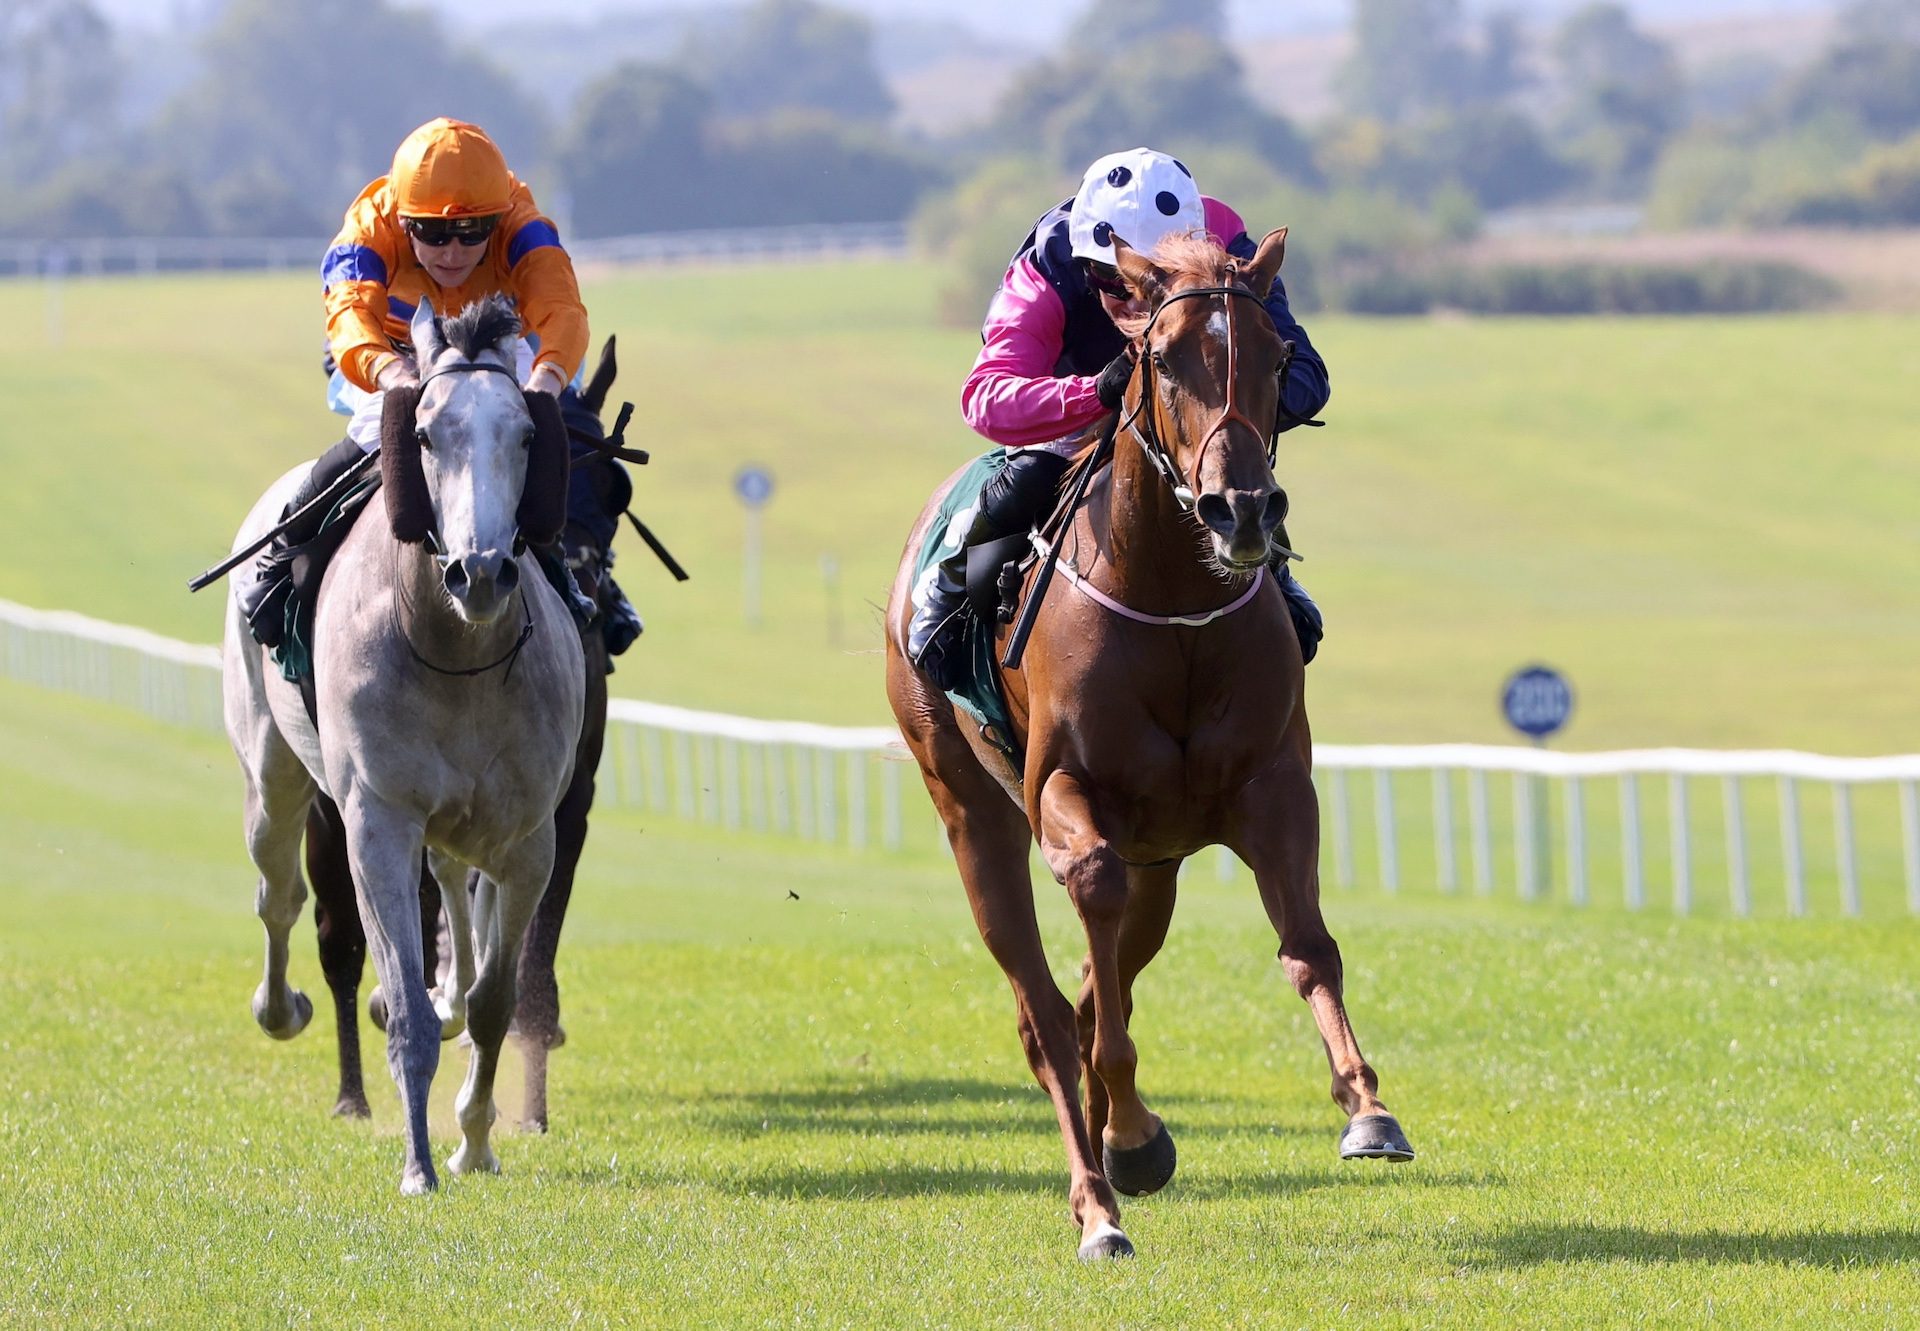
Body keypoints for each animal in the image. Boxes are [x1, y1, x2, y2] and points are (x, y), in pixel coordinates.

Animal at [223, 295, 583, 1190]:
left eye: (526, 434)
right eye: (422, 432)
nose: (479, 571)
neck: (454, 652)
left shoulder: (529, 836)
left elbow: (495, 1000)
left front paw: (475, 1139)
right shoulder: (377, 818)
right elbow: (407, 1008)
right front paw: (420, 1161)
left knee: (451, 882)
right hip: (273, 774)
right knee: (278, 894)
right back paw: (280, 1005)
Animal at [883, 225, 1413, 1259]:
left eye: (1277, 356)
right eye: (1161, 358)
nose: (1240, 510)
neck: (1174, 606)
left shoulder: (1273, 786)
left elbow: (1308, 946)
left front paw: (1368, 1108)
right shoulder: (1065, 791)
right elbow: (1091, 956)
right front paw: (1127, 1137)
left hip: (1159, 863)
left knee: (1098, 983)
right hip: (969, 808)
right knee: (1046, 1012)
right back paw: (1098, 1198)